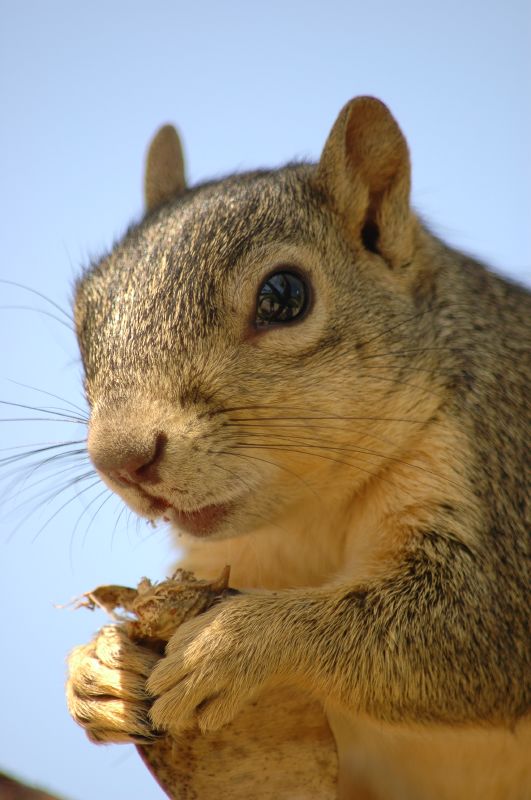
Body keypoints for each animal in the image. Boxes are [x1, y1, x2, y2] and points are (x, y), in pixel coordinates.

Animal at [67, 97, 530, 799]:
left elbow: (469, 632)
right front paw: (93, 669)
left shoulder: (498, 471)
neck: (313, 513)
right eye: (83, 316)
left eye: (284, 295)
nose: (120, 459)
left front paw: (234, 644)